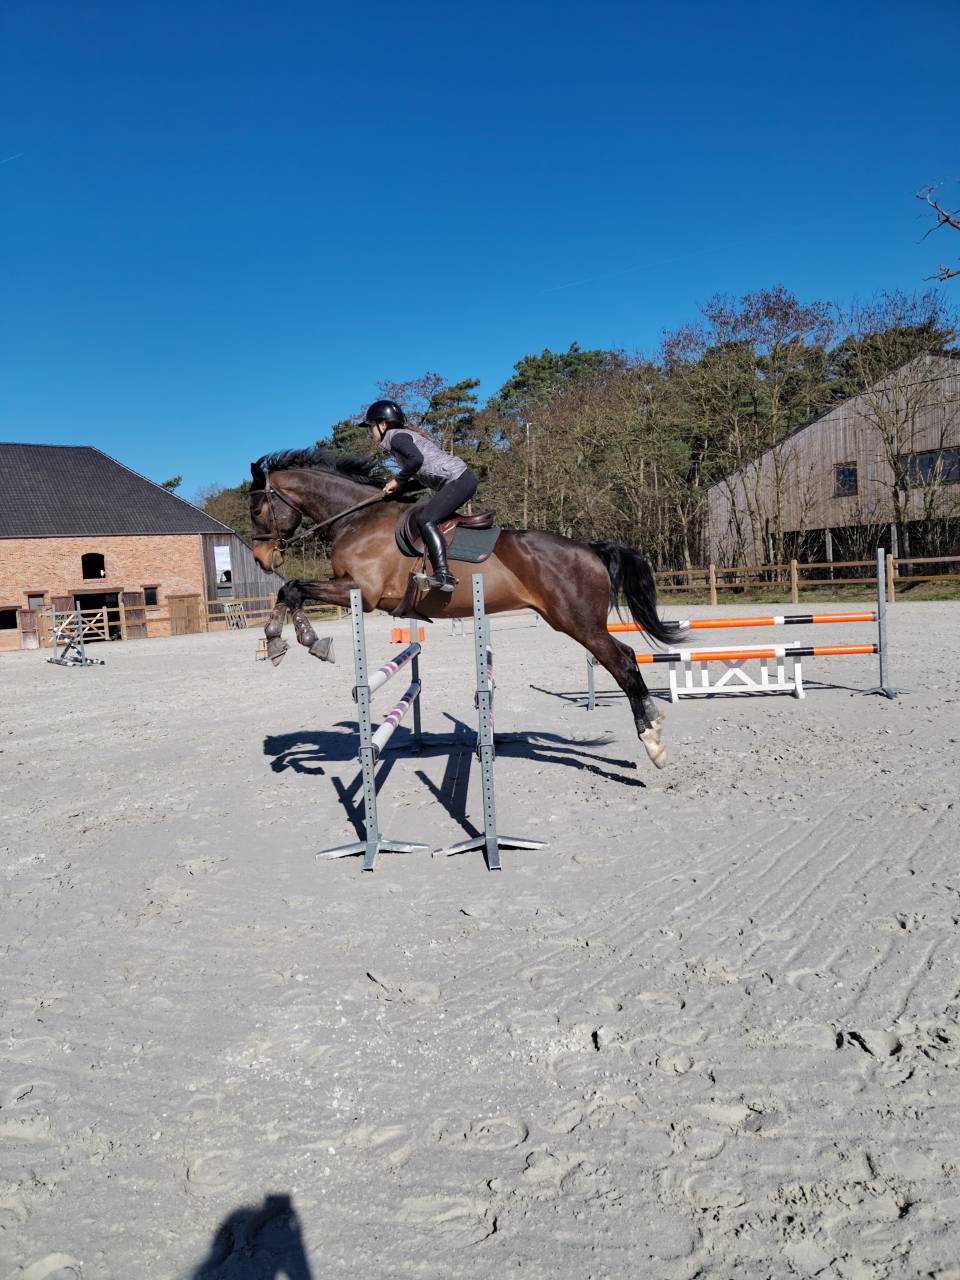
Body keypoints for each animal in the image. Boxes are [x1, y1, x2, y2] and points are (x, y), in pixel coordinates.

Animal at [249, 447, 686, 768]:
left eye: (257, 510)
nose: (260, 558)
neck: (357, 519)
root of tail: (589, 548)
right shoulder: (351, 589)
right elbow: (287, 592)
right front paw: (279, 642)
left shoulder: (362, 592)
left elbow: (292, 588)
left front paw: (306, 641)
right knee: (625, 657)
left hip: (578, 622)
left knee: (623, 661)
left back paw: (653, 741)